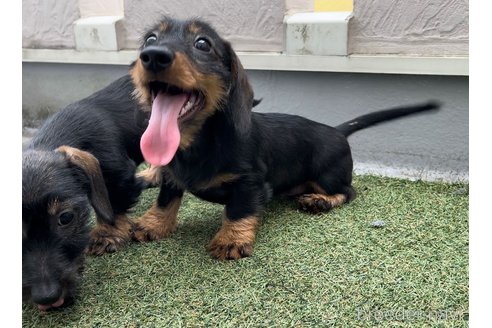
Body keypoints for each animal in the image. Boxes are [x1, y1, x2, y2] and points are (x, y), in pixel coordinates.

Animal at [130, 16, 438, 260]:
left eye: (203, 44)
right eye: (150, 39)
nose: (153, 55)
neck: (200, 142)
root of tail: (337, 130)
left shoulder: (251, 182)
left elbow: (238, 209)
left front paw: (231, 239)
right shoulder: (171, 176)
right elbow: (165, 200)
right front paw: (152, 225)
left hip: (328, 175)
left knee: (348, 191)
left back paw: (321, 201)